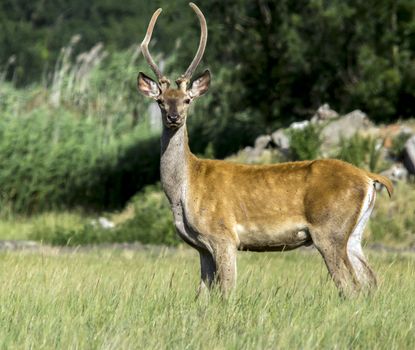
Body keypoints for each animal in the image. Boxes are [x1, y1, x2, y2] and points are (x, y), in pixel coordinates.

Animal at [138, 2, 394, 298]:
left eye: (187, 100)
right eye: (160, 101)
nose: (173, 117)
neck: (183, 190)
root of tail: (369, 177)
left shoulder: (224, 236)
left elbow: (226, 291)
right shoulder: (202, 247)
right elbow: (202, 294)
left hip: (330, 231)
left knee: (351, 286)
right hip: (354, 235)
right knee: (371, 280)